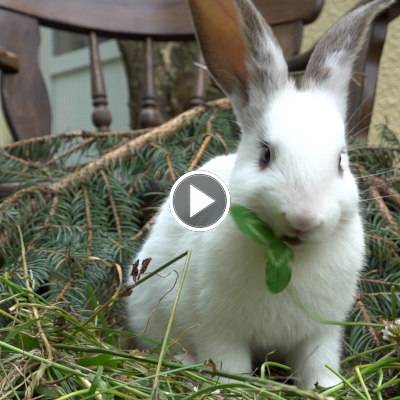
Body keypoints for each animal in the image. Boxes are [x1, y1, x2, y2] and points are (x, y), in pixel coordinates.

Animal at [127, 0, 394, 390]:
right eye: (266, 154)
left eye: (341, 161)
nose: (303, 217)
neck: (288, 255)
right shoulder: (220, 331)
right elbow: (230, 366)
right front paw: (236, 387)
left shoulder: (320, 335)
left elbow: (319, 368)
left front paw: (325, 390)